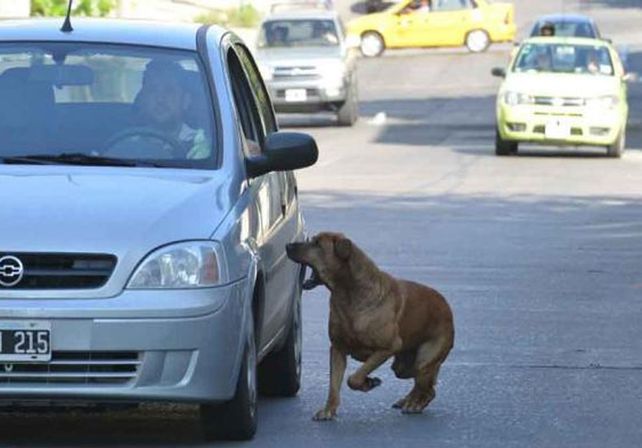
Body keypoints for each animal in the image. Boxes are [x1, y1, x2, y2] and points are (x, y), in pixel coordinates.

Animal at [282, 231, 452, 420]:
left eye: (317, 244)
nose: (287, 245)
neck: (347, 294)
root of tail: (446, 306)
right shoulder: (337, 348)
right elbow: (334, 385)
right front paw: (328, 410)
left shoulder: (387, 348)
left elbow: (354, 378)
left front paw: (367, 382)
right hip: (402, 366)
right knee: (424, 385)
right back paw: (407, 400)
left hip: (423, 359)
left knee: (428, 388)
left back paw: (414, 404)